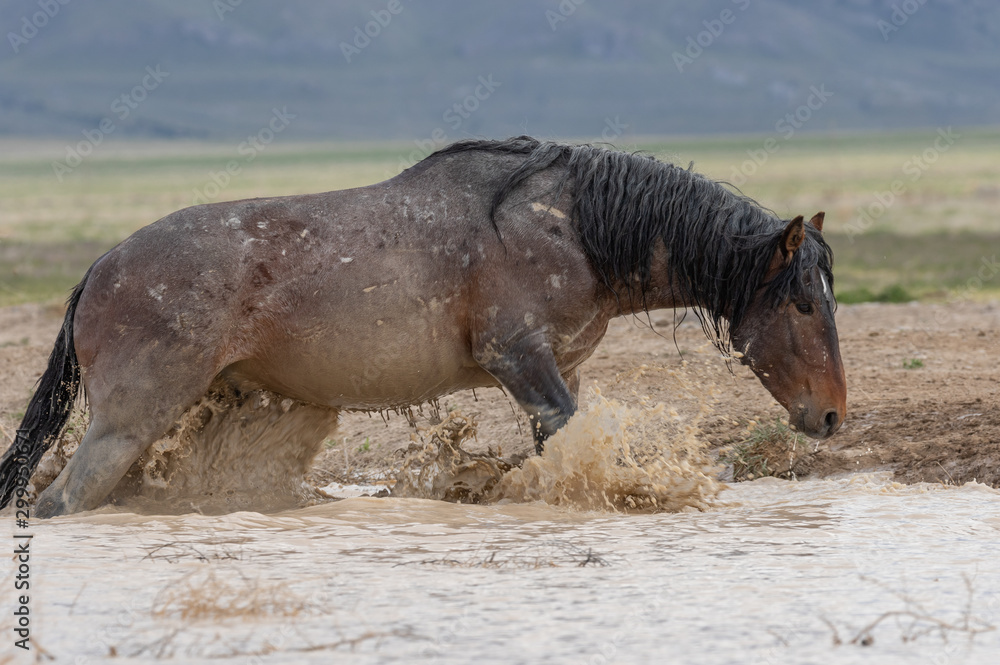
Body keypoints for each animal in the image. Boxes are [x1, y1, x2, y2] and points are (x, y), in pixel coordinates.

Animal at [0, 136, 846, 517]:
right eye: (804, 304)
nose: (834, 413)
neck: (573, 228)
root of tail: (99, 267)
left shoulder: (559, 370)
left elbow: (557, 450)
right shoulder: (517, 358)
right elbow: (573, 439)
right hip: (126, 422)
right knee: (59, 502)